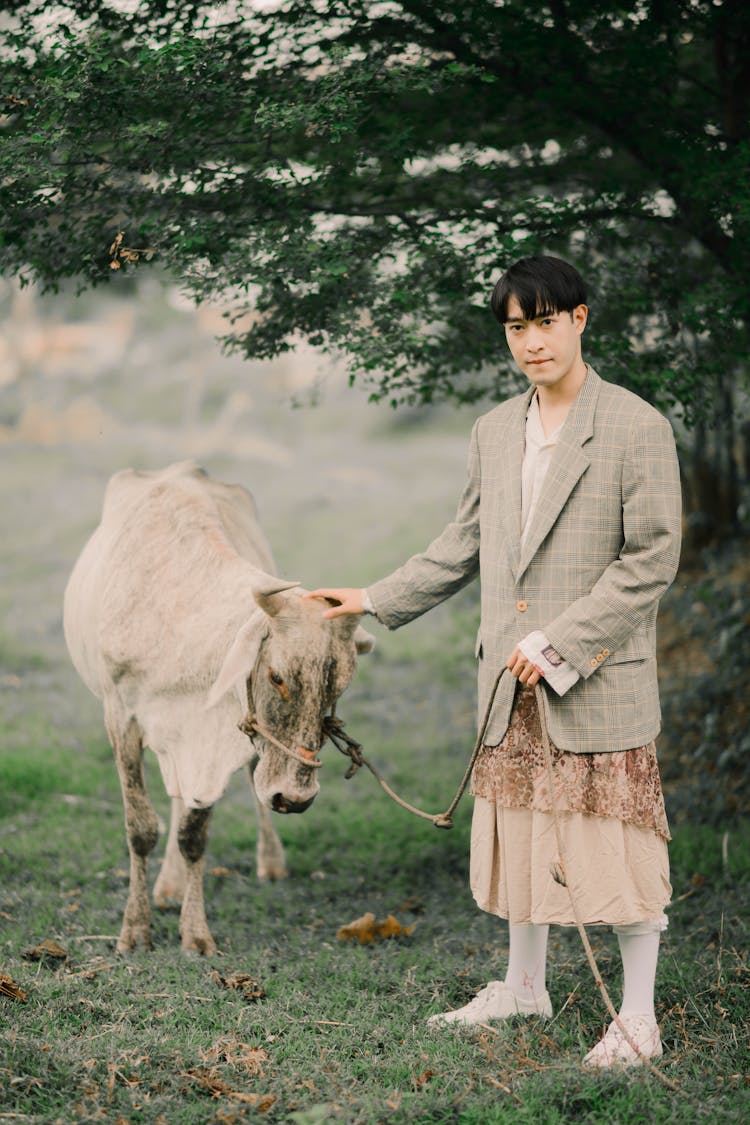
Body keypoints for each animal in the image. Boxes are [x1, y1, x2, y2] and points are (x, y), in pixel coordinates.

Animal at [62, 461, 373, 954]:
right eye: (276, 676)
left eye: (339, 687)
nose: (295, 798)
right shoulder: (121, 717)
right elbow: (140, 828)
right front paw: (135, 930)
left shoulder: (211, 734)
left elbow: (194, 835)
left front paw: (195, 934)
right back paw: (168, 886)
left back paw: (267, 862)